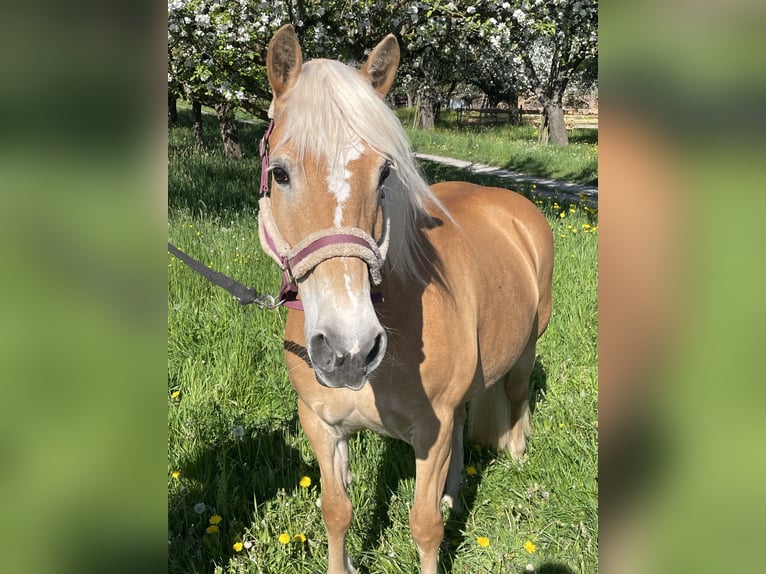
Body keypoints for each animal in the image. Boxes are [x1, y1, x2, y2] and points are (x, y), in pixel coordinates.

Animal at [260, 24, 553, 574]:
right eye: (280, 173)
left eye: (383, 174)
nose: (349, 350)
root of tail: (515, 206)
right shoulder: (322, 427)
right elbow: (337, 511)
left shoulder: (428, 435)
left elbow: (424, 527)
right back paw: (456, 492)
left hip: (527, 348)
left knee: (516, 395)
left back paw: (518, 455)